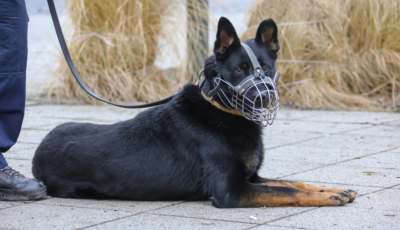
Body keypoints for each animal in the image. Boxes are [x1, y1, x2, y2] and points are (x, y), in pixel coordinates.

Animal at [32, 16, 356, 207]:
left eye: (265, 67)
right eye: (240, 69)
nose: (264, 97)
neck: (222, 112)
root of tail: (37, 153)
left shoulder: (251, 179)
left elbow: (291, 182)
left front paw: (330, 189)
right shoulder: (231, 191)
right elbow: (288, 191)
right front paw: (331, 196)